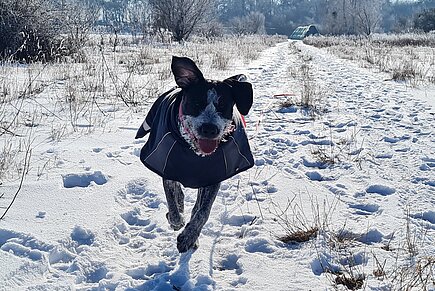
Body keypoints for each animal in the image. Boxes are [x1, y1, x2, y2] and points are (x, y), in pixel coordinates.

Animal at [135, 56, 254, 253]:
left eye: (224, 105)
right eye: (196, 103)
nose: (209, 129)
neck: (194, 153)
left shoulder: (212, 178)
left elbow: (202, 212)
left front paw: (189, 236)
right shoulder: (168, 169)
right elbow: (173, 204)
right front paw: (176, 221)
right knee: (178, 194)